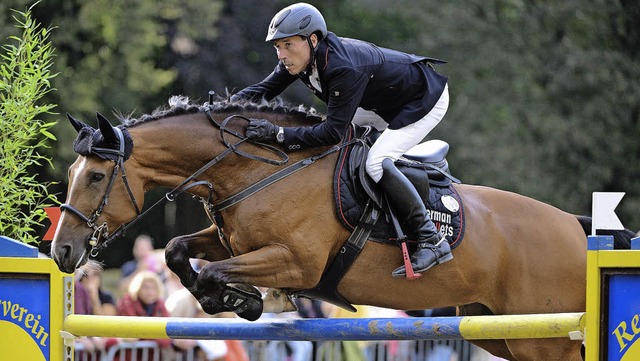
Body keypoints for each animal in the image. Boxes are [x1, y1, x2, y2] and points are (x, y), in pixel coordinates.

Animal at [53, 94, 636, 358]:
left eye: (98, 175)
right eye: (73, 174)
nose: (61, 253)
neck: (255, 169)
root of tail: (577, 228)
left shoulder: (297, 262)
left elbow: (217, 273)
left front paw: (245, 301)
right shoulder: (227, 240)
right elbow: (178, 251)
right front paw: (239, 300)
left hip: (544, 339)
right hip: (504, 330)